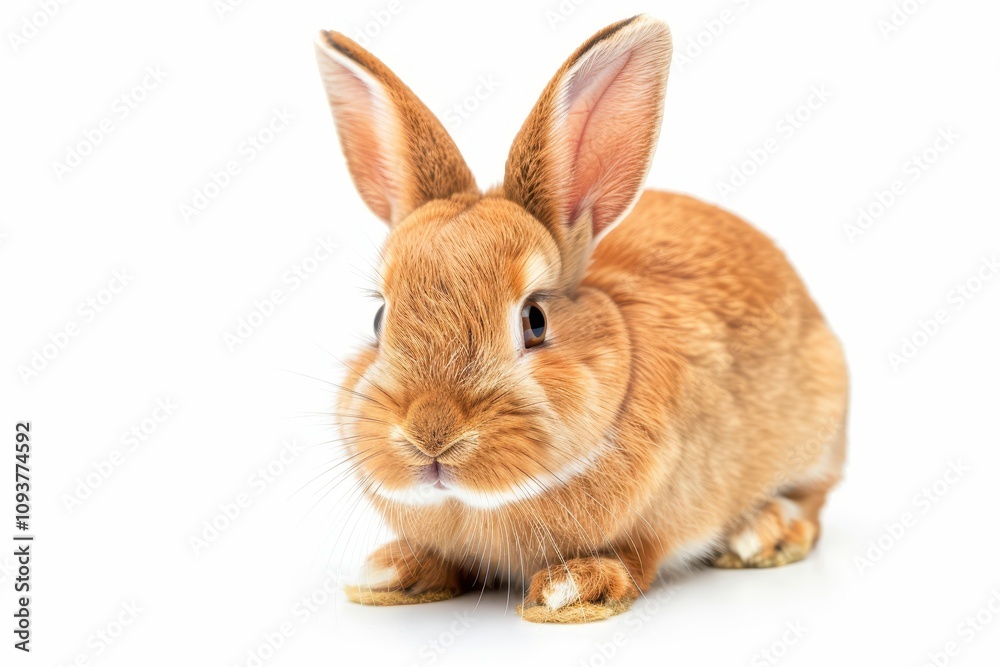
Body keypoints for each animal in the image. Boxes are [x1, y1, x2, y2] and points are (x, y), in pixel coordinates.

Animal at [314, 14, 848, 624]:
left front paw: (570, 589)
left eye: (535, 320)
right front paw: (390, 572)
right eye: (380, 318)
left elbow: (636, 555)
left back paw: (765, 535)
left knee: (812, 501)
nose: (431, 435)